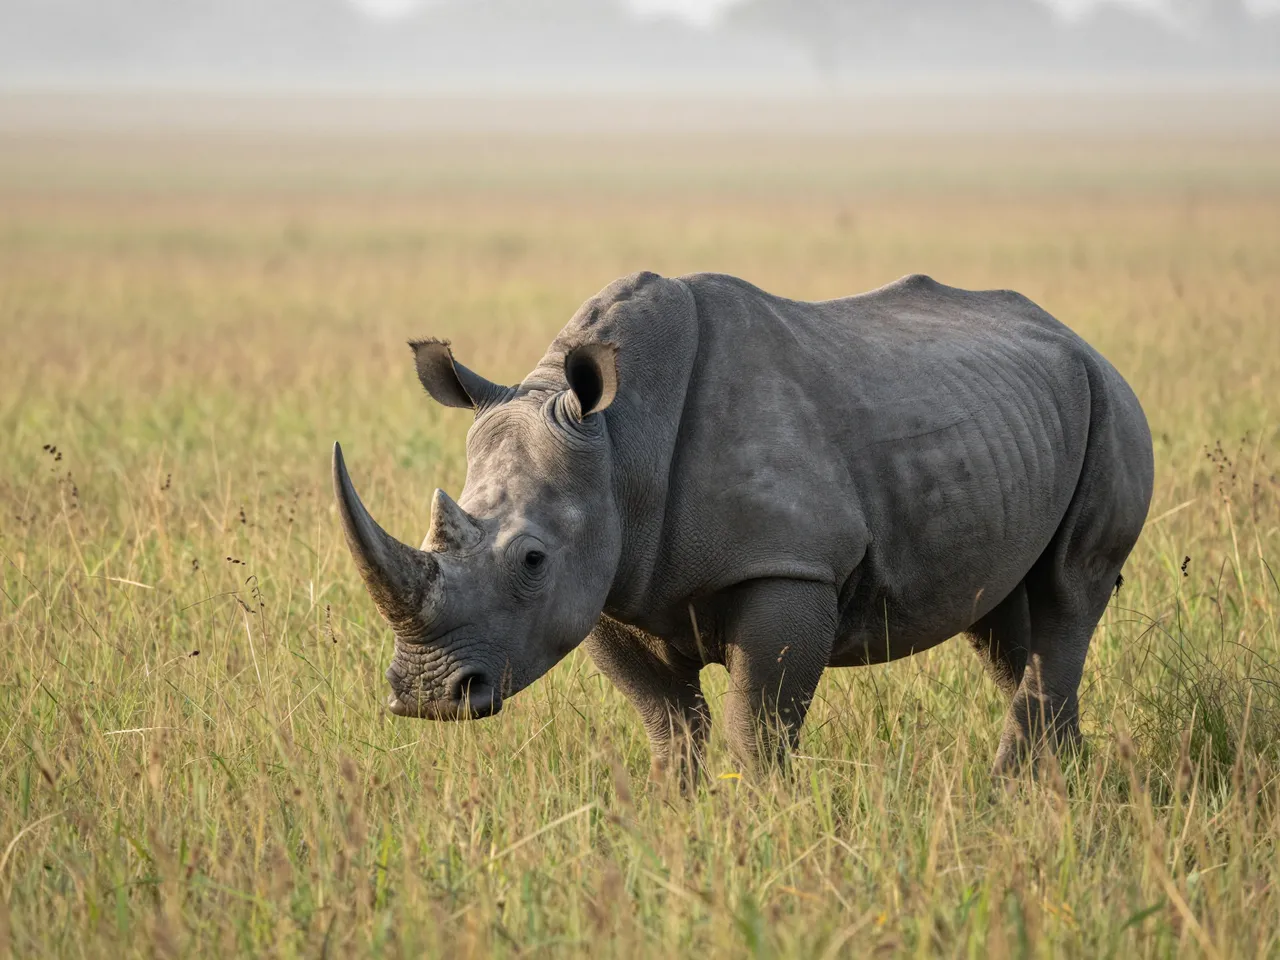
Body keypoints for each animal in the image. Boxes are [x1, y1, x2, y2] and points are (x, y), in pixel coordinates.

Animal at [333, 271, 1153, 778]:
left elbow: (757, 726)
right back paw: (1061, 783)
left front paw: (762, 820)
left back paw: (1011, 792)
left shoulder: (789, 566)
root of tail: (1078, 337)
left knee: (1066, 596)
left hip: (1112, 400)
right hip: (1021, 418)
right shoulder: (611, 580)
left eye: (532, 560)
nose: (427, 698)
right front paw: (675, 812)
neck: (619, 444)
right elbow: (667, 723)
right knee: (1003, 618)